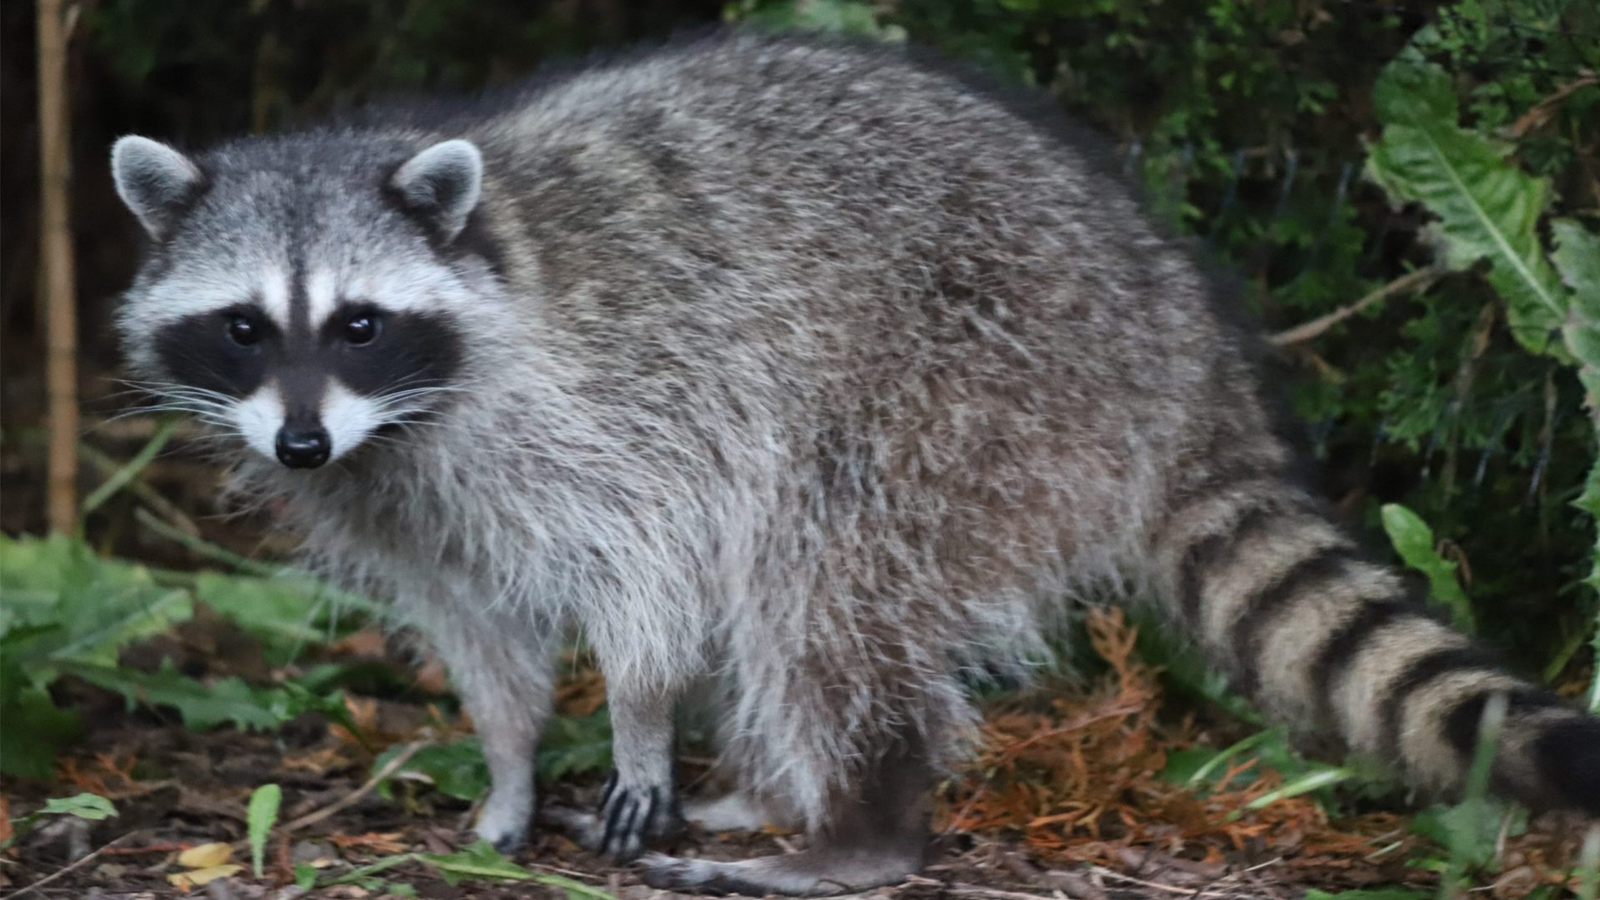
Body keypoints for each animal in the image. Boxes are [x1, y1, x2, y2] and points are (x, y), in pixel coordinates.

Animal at [112, 28, 1600, 890]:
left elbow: (652, 580)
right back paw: (782, 795)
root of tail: (1179, 335)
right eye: (245, 328)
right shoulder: (405, 498)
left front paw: (638, 722)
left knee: (825, 583)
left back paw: (861, 830)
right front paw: (513, 766)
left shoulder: (616, 398)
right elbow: (482, 637)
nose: (300, 443)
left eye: (357, 323)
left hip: (977, 383)